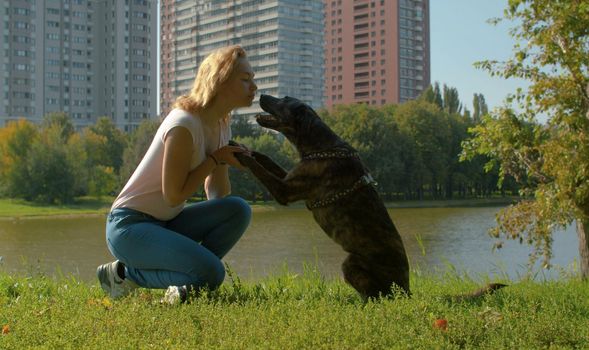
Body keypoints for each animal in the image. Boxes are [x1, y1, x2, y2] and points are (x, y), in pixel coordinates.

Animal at [232, 94, 504, 300]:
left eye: (285, 100)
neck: (321, 146)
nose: (262, 96)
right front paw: (241, 145)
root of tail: (407, 289)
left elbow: (259, 169)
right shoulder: (291, 177)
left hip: (351, 263)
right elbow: (265, 158)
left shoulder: (285, 191)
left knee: (377, 296)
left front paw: (240, 155)